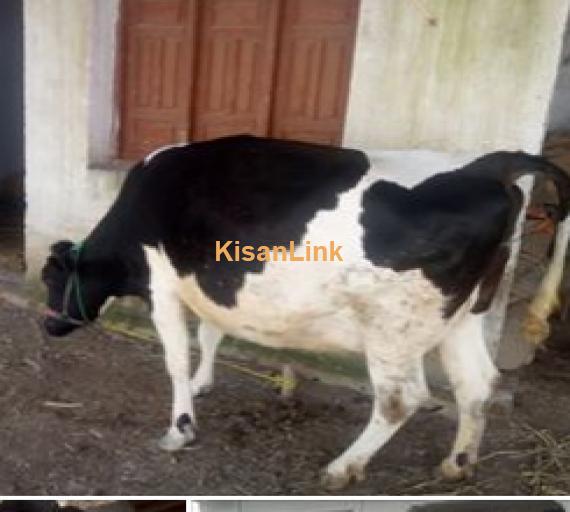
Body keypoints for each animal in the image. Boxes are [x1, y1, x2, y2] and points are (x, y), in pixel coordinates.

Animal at [41, 135, 570, 489]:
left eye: (50, 278)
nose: (46, 324)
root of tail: (492, 165)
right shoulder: (214, 282)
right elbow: (211, 335)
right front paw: (203, 383)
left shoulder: (162, 283)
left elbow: (175, 357)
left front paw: (180, 429)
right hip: (465, 315)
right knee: (475, 384)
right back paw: (457, 465)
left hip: (394, 330)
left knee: (401, 400)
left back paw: (342, 468)